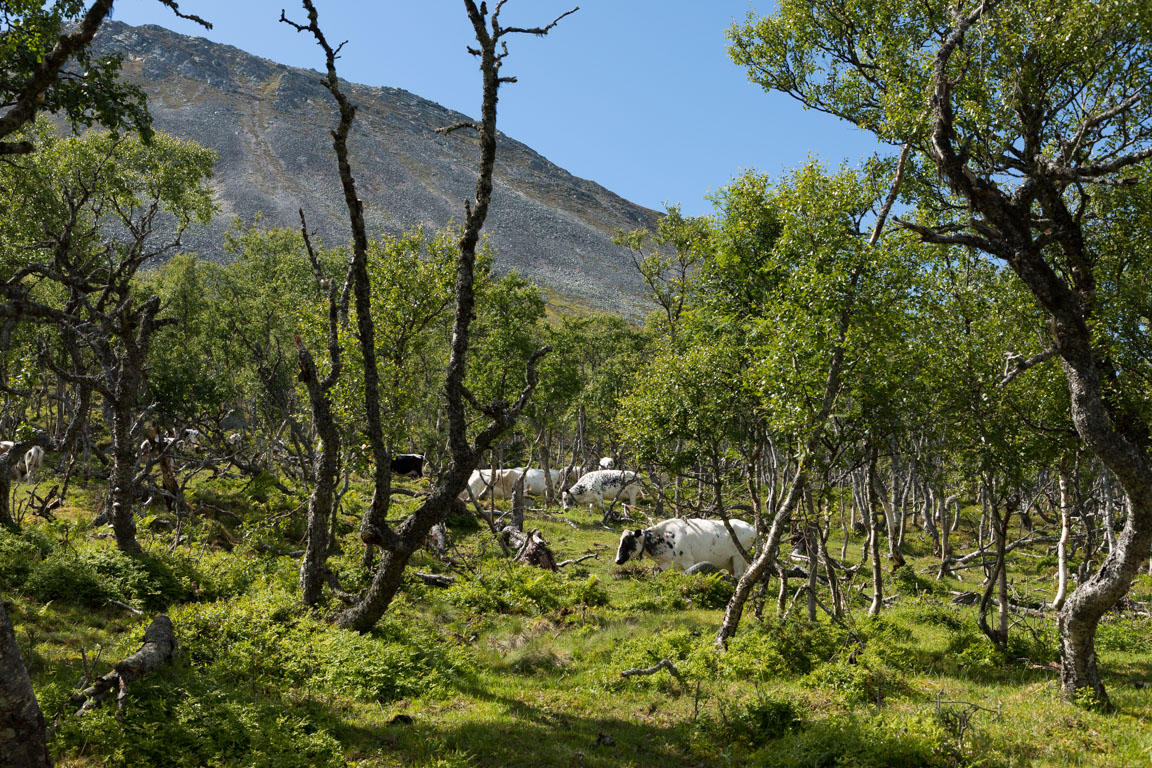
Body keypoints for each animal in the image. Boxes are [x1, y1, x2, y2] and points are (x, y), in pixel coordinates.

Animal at [612, 515, 755, 575]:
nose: (617, 560)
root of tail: (751, 527)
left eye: (628, 541)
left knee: (738, 575)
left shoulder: (688, 561)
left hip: (738, 557)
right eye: (620, 541)